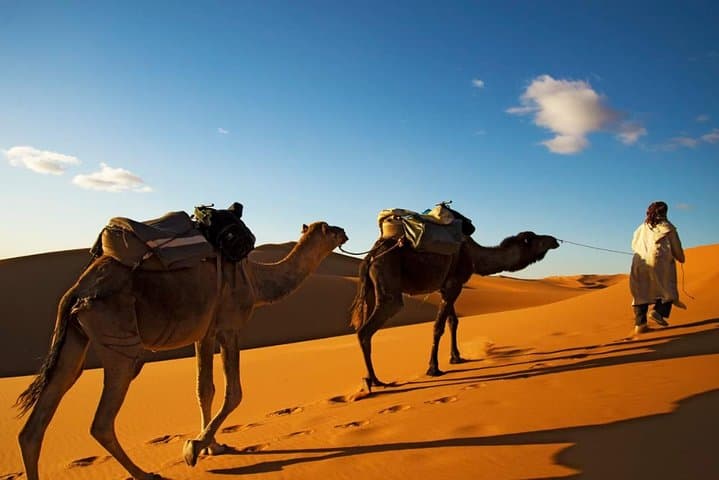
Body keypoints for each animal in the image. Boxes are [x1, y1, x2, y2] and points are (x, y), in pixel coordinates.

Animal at [15, 221, 348, 480]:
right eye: (329, 229)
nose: (344, 231)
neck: (256, 280)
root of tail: (77, 292)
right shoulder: (229, 327)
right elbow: (234, 392)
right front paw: (193, 448)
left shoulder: (204, 334)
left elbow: (205, 389)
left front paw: (213, 445)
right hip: (118, 340)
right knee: (102, 421)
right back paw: (144, 473)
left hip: (74, 338)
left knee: (39, 419)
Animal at [350, 231, 559, 390]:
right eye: (536, 238)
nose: (555, 240)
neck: (474, 255)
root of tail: (369, 258)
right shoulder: (454, 283)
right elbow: (439, 326)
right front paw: (434, 369)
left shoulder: (447, 286)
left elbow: (453, 321)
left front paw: (456, 357)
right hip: (388, 281)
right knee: (366, 330)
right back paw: (376, 381)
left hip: (371, 288)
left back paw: (370, 380)